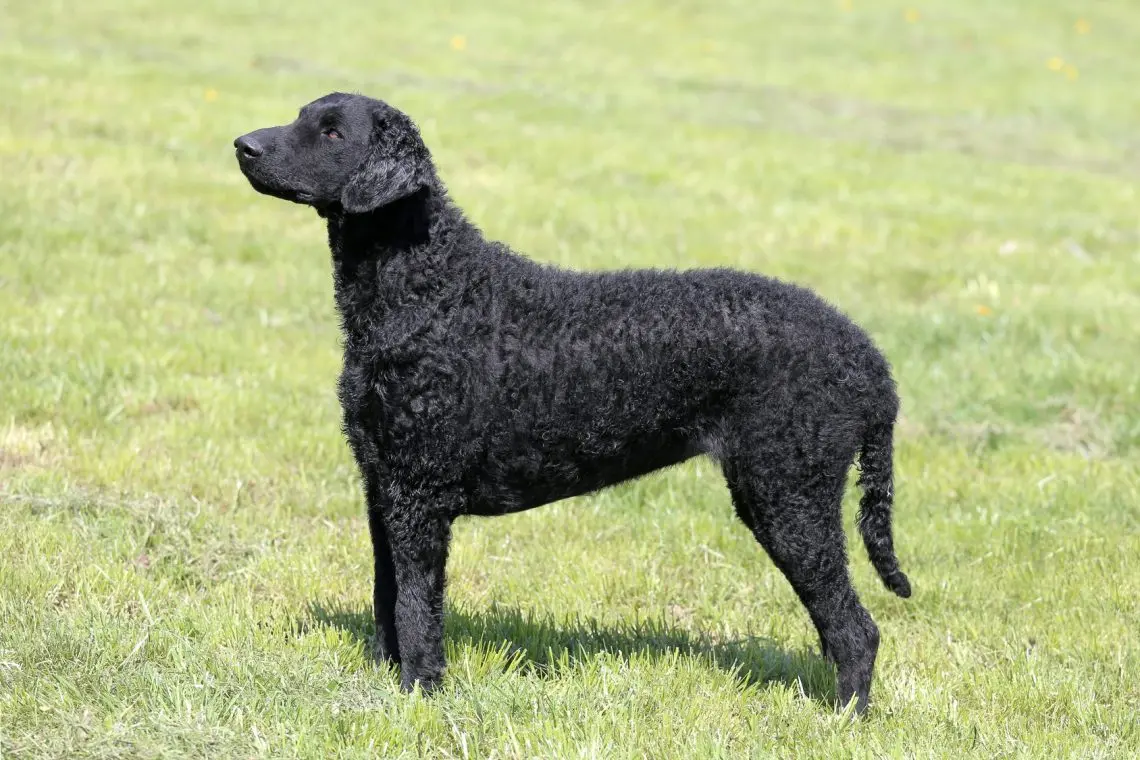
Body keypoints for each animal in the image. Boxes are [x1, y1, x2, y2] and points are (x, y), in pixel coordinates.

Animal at [235, 93, 912, 715]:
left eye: (331, 131)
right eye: (301, 115)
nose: (242, 144)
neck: (433, 288)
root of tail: (868, 356)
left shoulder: (418, 494)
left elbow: (417, 606)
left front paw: (421, 693)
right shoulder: (382, 485)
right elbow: (386, 597)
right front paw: (384, 679)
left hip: (788, 494)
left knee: (857, 630)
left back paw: (845, 718)